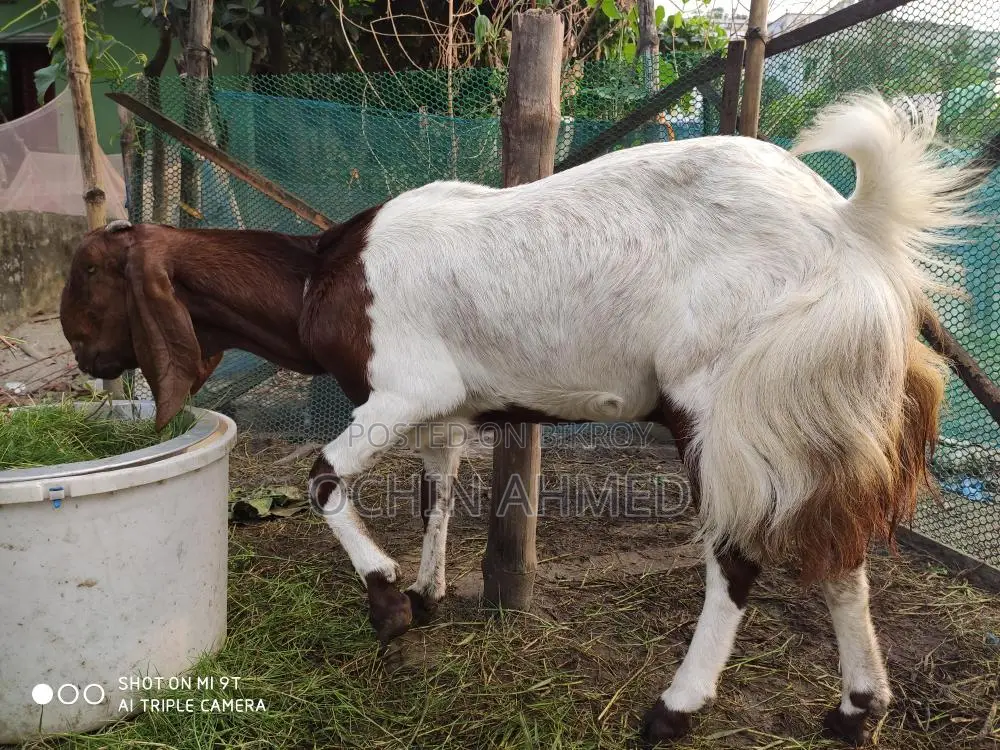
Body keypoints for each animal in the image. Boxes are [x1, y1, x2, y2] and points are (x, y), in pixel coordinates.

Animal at [60, 93, 982, 748]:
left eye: (90, 276)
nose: (80, 356)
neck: (320, 278)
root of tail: (851, 230)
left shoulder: (404, 389)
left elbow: (322, 478)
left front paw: (387, 601)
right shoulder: (447, 410)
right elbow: (436, 495)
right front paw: (427, 592)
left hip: (726, 406)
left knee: (739, 552)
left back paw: (675, 708)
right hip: (823, 412)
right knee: (843, 551)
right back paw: (857, 709)